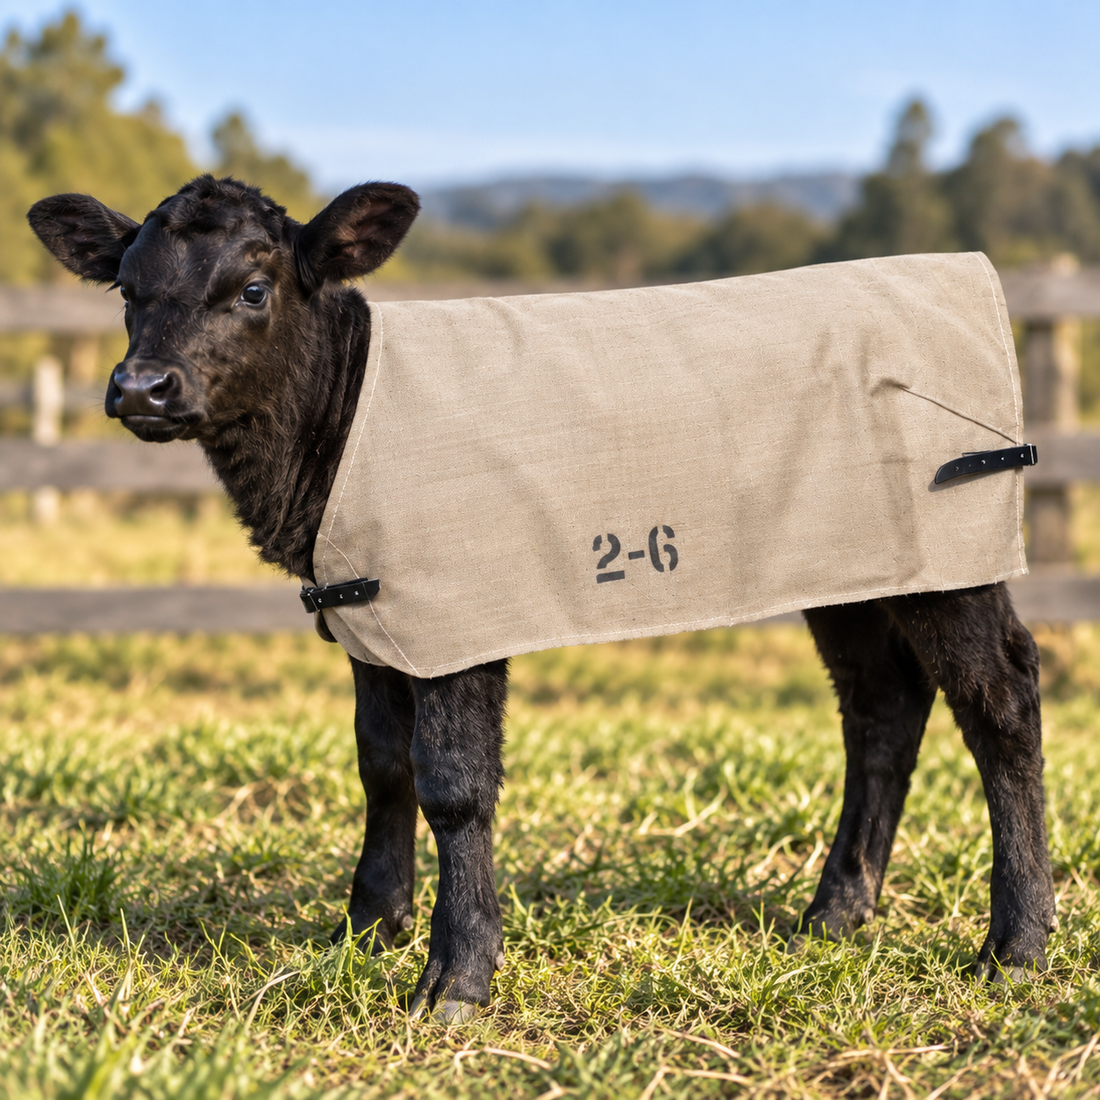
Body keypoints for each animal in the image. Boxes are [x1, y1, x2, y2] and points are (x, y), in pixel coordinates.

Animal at [28, 176, 1056, 1022]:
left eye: (252, 287)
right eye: (127, 290)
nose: (142, 388)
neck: (342, 426)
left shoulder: (458, 611)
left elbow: (452, 786)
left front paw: (455, 980)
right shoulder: (374, 615)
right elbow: (380, 765)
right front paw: (367, 929)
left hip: (953, 551)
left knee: (999, 702)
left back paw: (1016, 944)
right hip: (851, 566)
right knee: (883, 708)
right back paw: (837, 912)